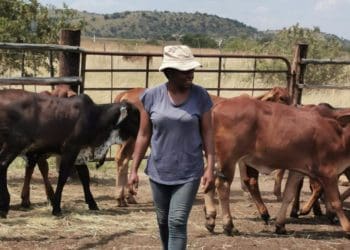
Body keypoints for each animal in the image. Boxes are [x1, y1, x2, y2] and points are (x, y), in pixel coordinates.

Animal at [0, 90, 139, 217]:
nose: (139, 134)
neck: (95, 117)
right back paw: (5, 205)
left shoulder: (80, 153)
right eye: (134, 117)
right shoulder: (70, 149)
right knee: (3, 164)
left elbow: (85, 177)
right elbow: (63, 177)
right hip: (14, 144)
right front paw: (56, 208)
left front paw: (92, 204)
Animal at [204, 94, 350, 235]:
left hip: (214, 157)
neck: (340, 135)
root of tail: (218, 106)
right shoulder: (328, 173)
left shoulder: (298, 170)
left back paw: (210, 219)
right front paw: (347, 227)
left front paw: (280, 225)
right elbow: (336, 201)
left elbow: (289, 195)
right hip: (228, 158)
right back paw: (229, 225)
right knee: (222, 186)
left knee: (208, 180)